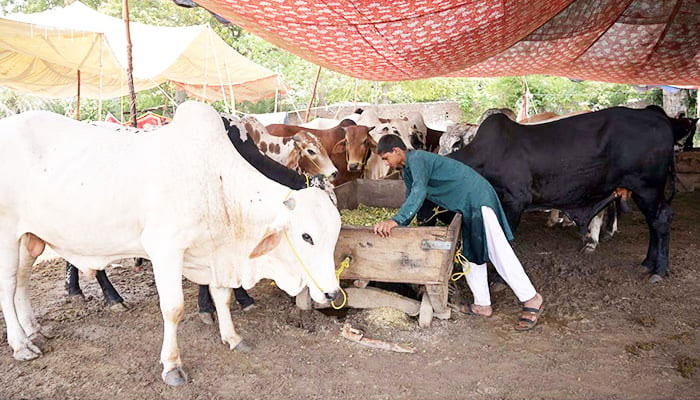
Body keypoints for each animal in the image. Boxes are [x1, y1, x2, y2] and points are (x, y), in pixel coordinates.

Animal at [0, 101, 342, 386]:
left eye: (335, 233)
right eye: (306, 236)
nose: (333, 294)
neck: (217, 183)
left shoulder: (214, 252)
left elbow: (222, 297)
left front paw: (232, 337)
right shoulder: (165, 249)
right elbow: (174, 308)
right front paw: (172, 366)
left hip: (30, 238)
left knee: (23, 281)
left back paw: (34, 330)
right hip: (7, 234)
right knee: (9, 285)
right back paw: (21, 344)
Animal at [418, 107, 675, 282]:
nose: (419, 221)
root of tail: (660, 120)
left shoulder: (515, 201)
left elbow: (504, 242)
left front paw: (499, 279)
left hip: (647, 188)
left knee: (660, 220)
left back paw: (658, 270)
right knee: (653, 223)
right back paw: (646, 263)